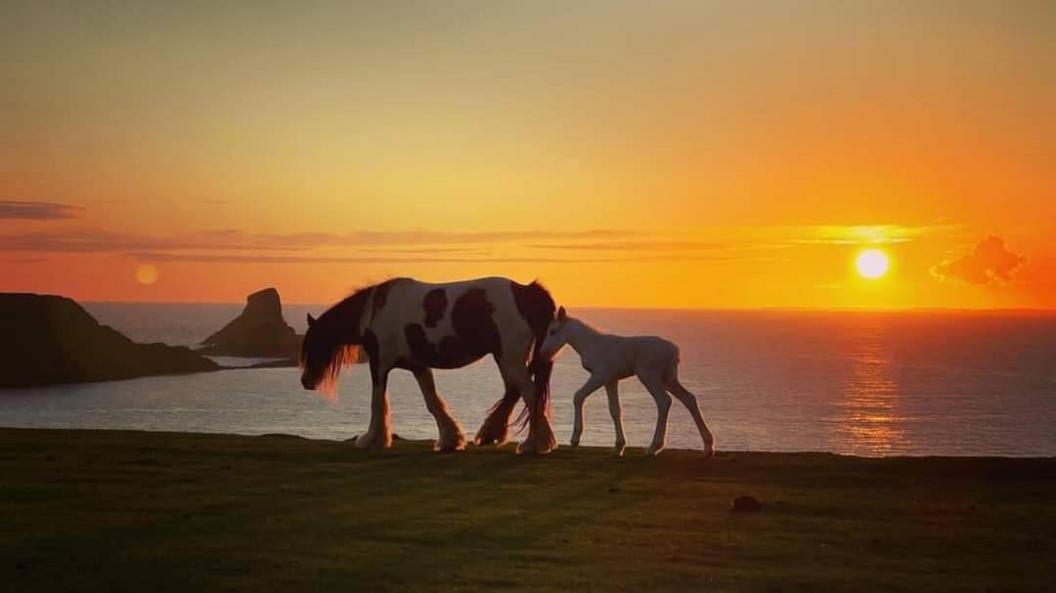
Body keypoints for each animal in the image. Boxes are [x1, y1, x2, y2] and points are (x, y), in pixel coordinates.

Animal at [299, 277, 558, 454]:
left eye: (312, 344)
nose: (305, 382)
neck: (374, 311)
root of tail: (525, 292)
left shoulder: (379, 364)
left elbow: (377, 403)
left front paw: (372, 439)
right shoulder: (418, 366)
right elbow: (433, 402)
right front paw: (450, 440)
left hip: (510, 358)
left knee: (530, 394)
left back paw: (533, 444)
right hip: (505, 358)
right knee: (516, 392)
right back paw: (496, 435)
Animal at [539, 307, 715, 457]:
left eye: (552, 331)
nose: (543, 353)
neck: (593, 345)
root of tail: (675, 352)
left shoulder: (601, 375)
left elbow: (578, 396)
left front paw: (575, 440)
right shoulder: (611, 380)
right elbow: (615, 410)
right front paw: (619, 447)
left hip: (649, 376)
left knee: (664, 401)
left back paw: (654, 448)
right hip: (668, 379)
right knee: (689, 399)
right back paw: (708, 447)